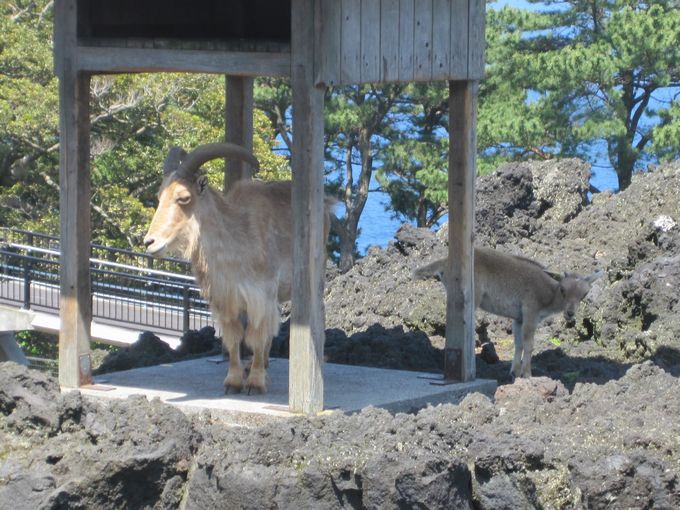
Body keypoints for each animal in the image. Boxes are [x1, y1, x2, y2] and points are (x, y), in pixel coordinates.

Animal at [145, 143, 334, 394]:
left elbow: (256, 336)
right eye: (159, 196)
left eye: (183, 197)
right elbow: (234, 338)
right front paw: (234, 381)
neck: (237, 239)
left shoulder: (260, 296)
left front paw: (255, 383)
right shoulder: (226, 299)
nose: (149, 242)